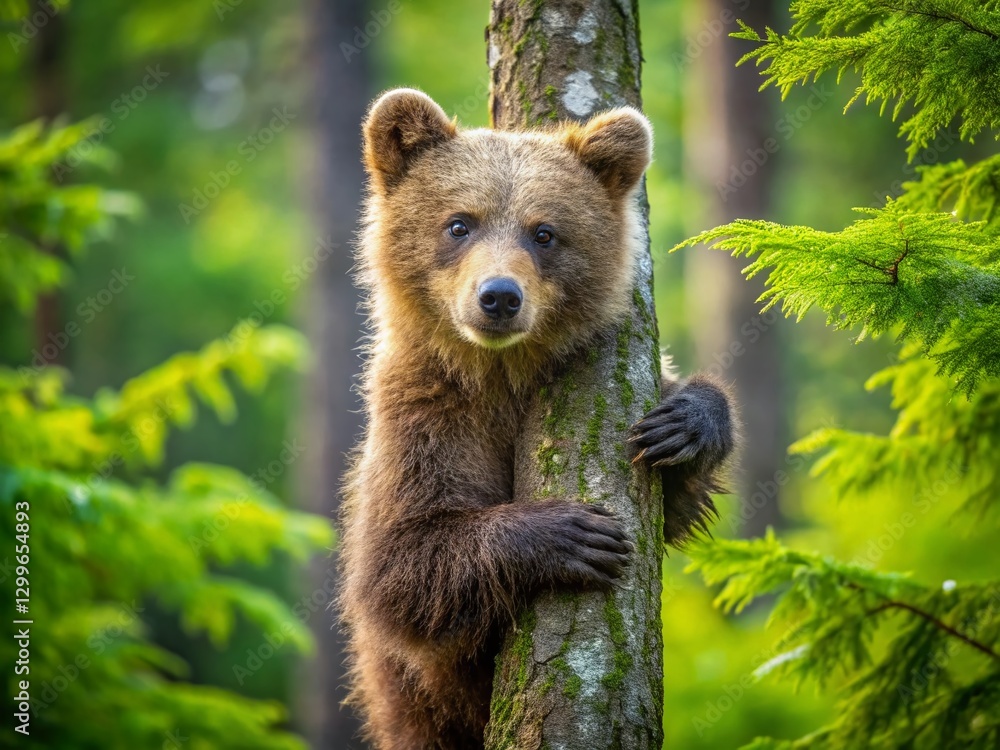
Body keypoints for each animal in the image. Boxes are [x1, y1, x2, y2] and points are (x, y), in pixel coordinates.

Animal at [338, 88, 735, 750]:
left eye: (544, 233)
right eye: (459, 223)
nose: (499, 296)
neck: (499, 372)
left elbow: (675, 501)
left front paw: (684, 423)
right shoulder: (424, 415)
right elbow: (399, 564)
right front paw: (572, 533)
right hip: (410, 705)